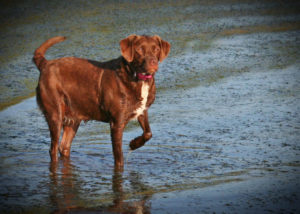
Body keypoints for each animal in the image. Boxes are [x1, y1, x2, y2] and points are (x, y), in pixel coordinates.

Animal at [33, 34, 171, 170]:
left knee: (64, 147)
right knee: (53, 149)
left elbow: (148, 132)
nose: (153, 62)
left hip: (73, 118)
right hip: (55, 113)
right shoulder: (116, 122)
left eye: (156, 49)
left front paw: (133, 144)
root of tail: (45, 64)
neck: (137, 78)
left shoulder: (142, 110)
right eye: (140, 49)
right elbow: (119, 157)